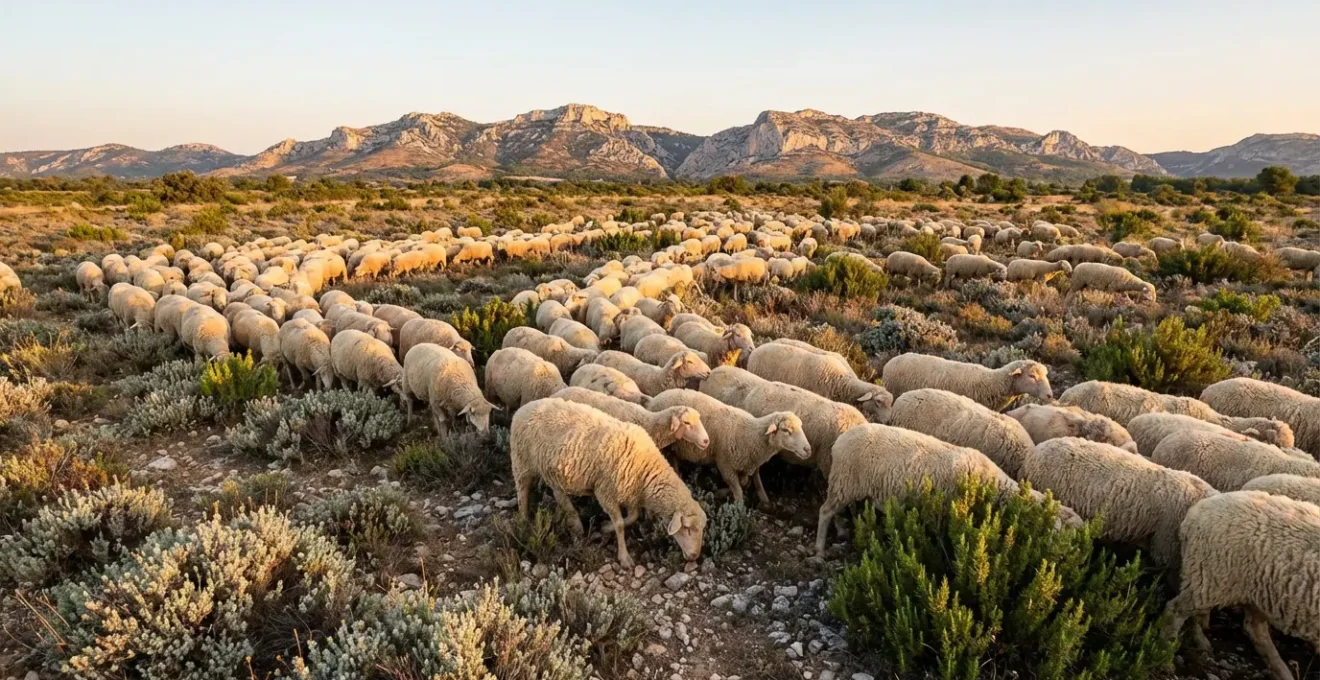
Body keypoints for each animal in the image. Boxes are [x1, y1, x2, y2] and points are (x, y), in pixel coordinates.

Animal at [510, 398, 707, 568]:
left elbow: (632, 517)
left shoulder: (630, 492)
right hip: (521, 463)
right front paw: (624, 557)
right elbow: (620, 524)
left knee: (558, 492)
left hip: (552, 470)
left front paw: (605, 528)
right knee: (522, 493)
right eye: (687, 529)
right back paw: (524, 523)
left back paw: (574, 521)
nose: (694, 556)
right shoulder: (605, 492)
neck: (646, 467)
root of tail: (523, 408)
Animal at [650, 389, 810, 504]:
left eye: (801, 426)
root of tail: (656, 398)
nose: (808, 449)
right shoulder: (725, 463)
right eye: (785, 430)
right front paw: (738, 509)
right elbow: (738, 490)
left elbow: (745, 483)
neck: (750, 434)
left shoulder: (746, 463)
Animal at [814, 424, 1028, 554]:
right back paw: (819, 547)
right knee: (825, 511)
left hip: (847, 483)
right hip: (845, 480)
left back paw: (842, 529)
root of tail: (841, 440)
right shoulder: (947, 509)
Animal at [1164, 491, 1320, 680]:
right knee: (1175, 610)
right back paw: (1165, 655)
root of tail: (1196, 511)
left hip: (1259, 592)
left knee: (1255, 630)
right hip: (1210, 579)